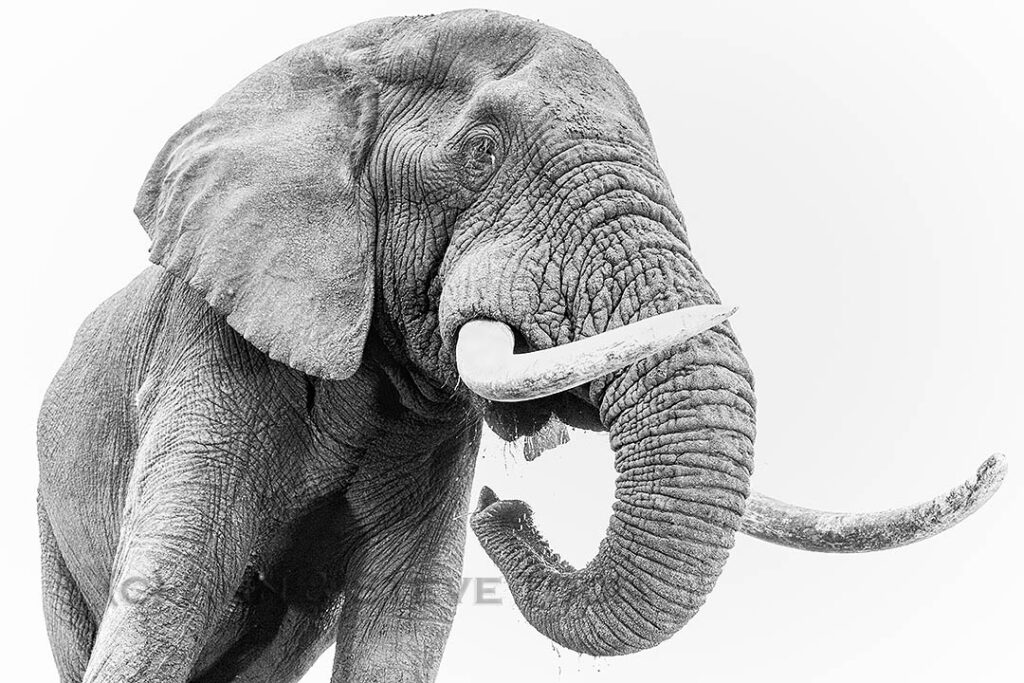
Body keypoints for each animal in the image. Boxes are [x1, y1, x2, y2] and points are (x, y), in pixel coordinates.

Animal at [36, 9, 1006, 683]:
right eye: (480, 154)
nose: (505, 506)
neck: (359, 48)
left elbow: (404, 615)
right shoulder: (207, 352)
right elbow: (166, 599)